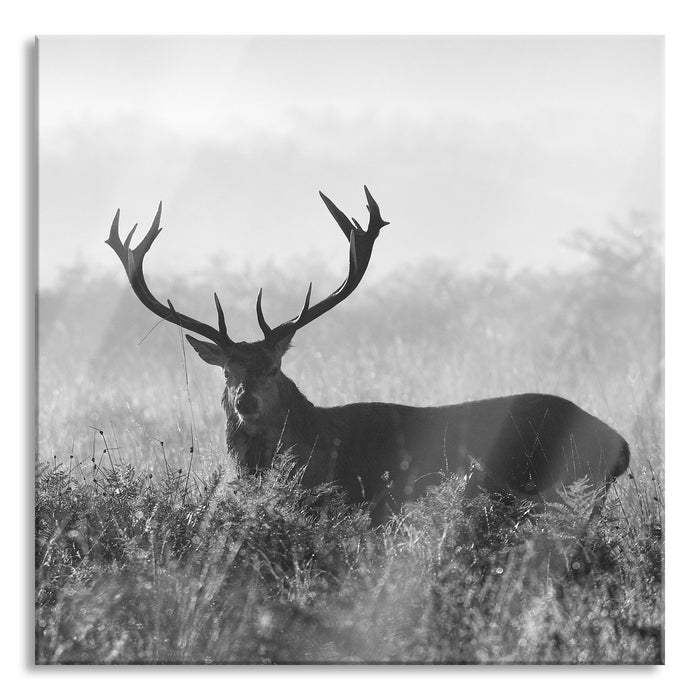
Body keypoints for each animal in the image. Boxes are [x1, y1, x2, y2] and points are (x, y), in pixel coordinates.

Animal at [107, 187, 629, 525]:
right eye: (227, 371)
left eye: (274, 368)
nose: (245, 401)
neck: (316, 448)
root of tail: (622, 446)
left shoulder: (367, 504)